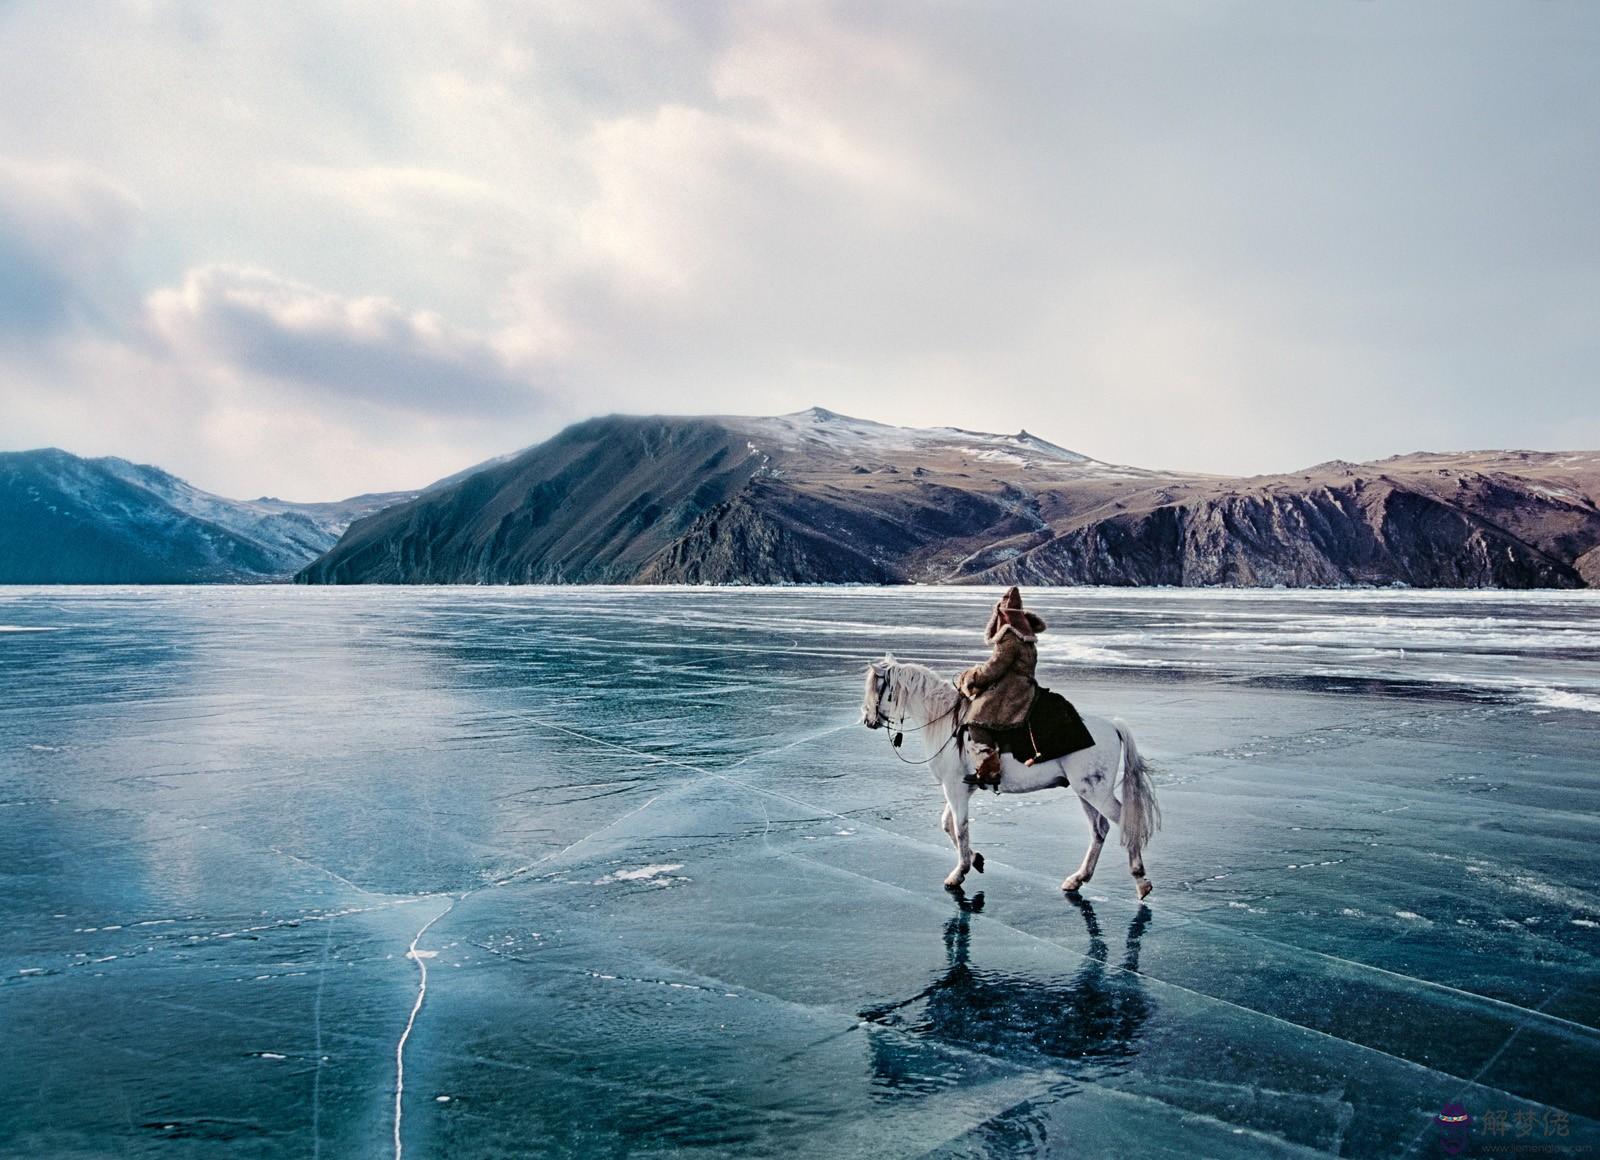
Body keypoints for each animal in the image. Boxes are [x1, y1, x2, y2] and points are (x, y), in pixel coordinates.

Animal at [864, 656, 1164, 902]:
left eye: (876, 689)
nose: (867, 720)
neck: (946, 722)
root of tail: (1113, 725)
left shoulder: (955, 788)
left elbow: (960, 829)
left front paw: (958, 873)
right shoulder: (961, 788)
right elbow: (949, 825)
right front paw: (976, 860)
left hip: (1095, 792)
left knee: (1125, 822)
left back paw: (1141, 881)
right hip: (1085, 792)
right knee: (1099, 830)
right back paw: (1077, 880)